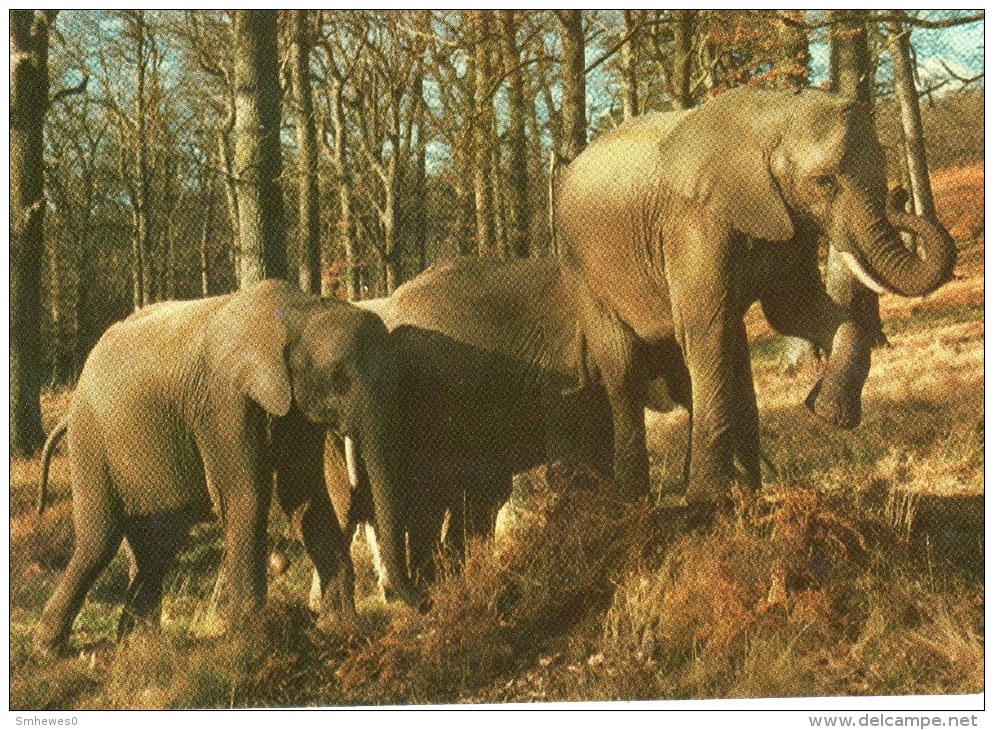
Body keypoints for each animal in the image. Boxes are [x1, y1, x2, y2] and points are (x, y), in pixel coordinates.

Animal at [33, 278, 416, 656]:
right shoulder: (223, 403)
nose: (420, 603)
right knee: (100, 540)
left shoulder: (295, 410)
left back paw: (140, 647)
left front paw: (344, 630)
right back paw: (49, 648)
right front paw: (253, 642)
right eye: (338, 377)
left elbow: (304, 495)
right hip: (90, 442)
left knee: (157, 548)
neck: (300, 312)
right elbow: (247, 496)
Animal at [560, 88, 952, 504]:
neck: (775, 116)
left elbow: (792, 309)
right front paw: (710, 499)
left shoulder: (789, 220)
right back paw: (635, 502)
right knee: (626, 372)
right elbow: (706, 328)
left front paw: (826, 412)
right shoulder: (693, 223)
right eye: (823, 182)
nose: (901, 195)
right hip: (580, 271)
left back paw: (747, 492)